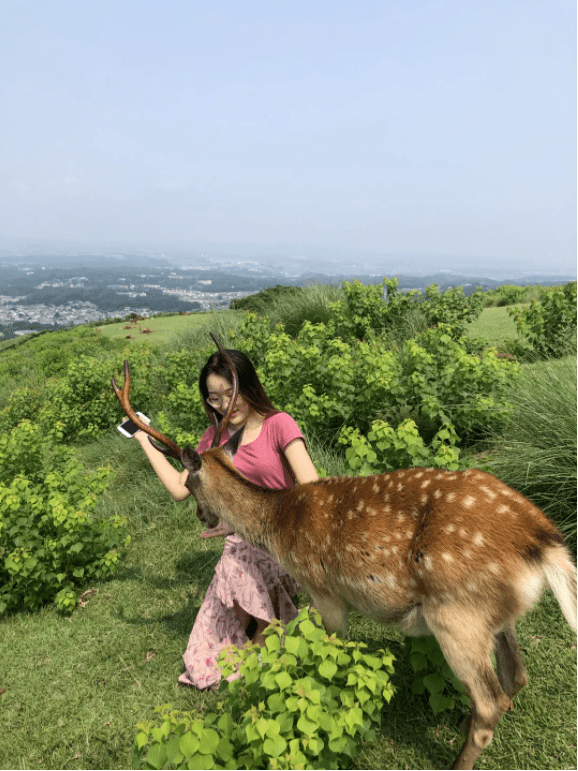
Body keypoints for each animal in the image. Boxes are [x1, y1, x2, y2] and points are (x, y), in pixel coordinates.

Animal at [110, 338, 572, 771]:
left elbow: (335, 648)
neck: (279, 526)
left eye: (189, 484)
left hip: (457, 613)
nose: (202, 515)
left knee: (491, 700)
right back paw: (462, 721)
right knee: (516, 676)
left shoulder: (327, 591)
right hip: (496, 614)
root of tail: (542, 538)